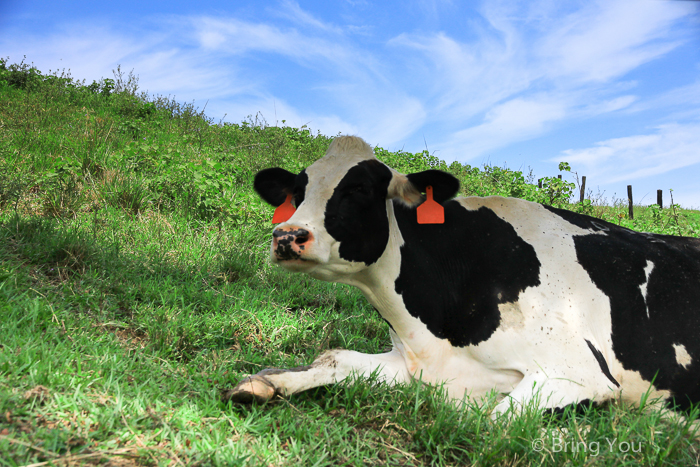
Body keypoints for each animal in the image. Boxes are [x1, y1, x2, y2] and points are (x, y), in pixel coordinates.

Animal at [224, 135, 700, 416]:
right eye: (297, 190)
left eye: (359, 188)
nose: (287, 235)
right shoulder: (419, 362)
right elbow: (333, 357)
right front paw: (264, 383)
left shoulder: (577, 370)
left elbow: (493, 421)